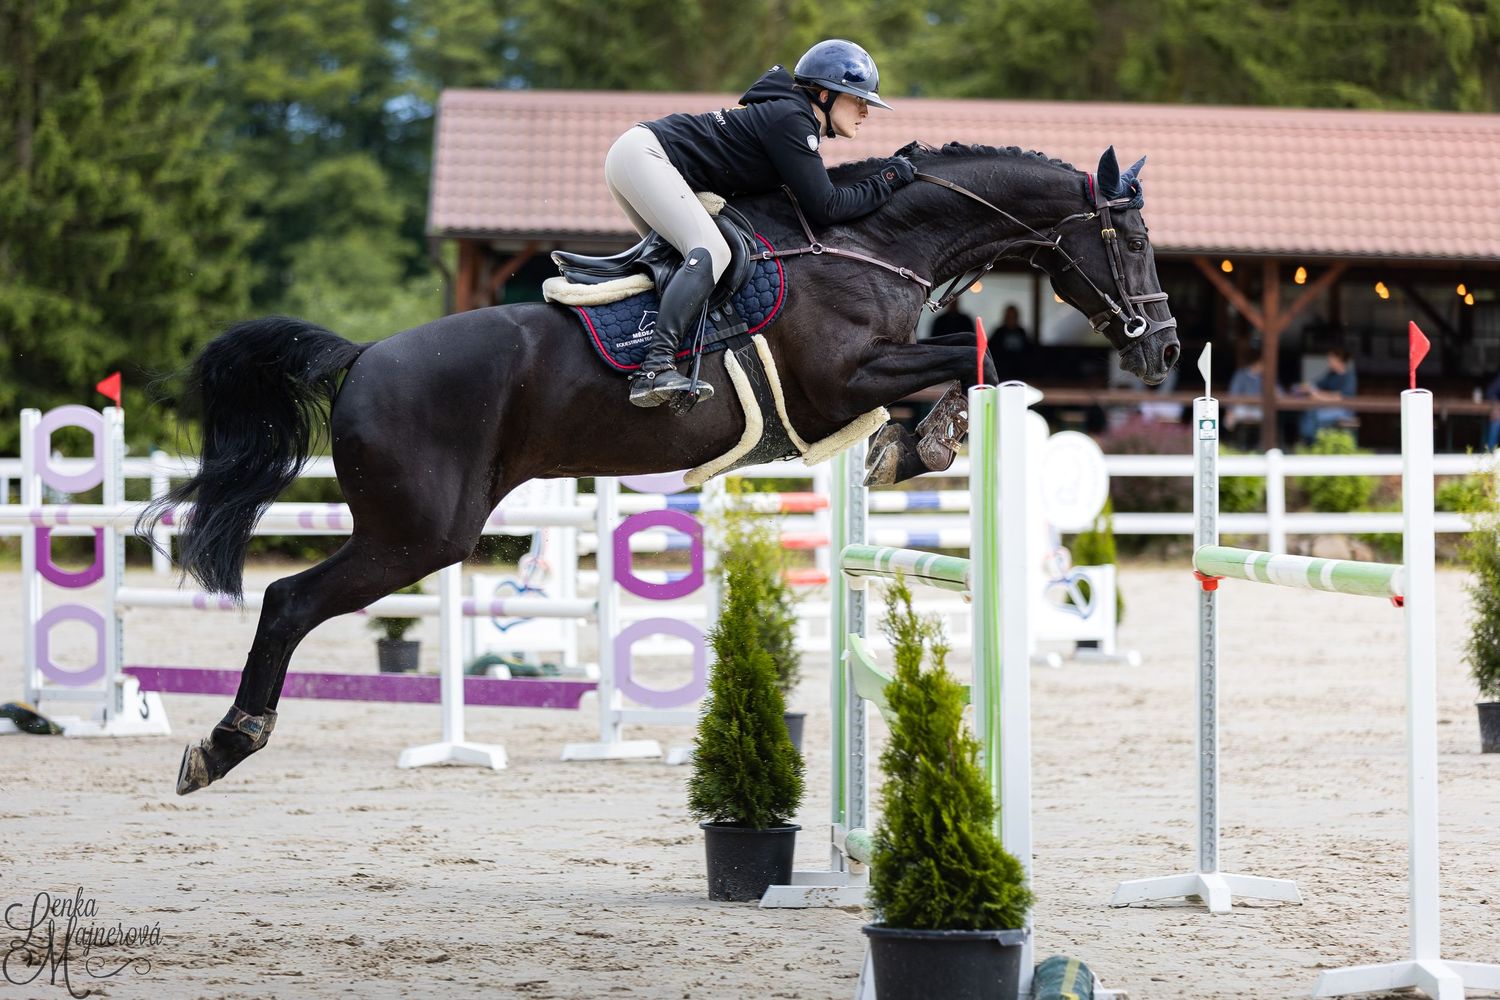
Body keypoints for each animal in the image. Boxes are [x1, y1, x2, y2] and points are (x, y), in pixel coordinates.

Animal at [148, 141, 1179, 793]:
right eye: (1132, 239)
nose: (1164, 349)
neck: (871, 244)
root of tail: (362, 355)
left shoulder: (859, 386)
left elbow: (959, 366)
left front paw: (913, 442)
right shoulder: (841, 381)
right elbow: (977, 352)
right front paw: (930, 436)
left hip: (422, 531)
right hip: (418, 535)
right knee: (289, 603)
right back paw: (223, 745)